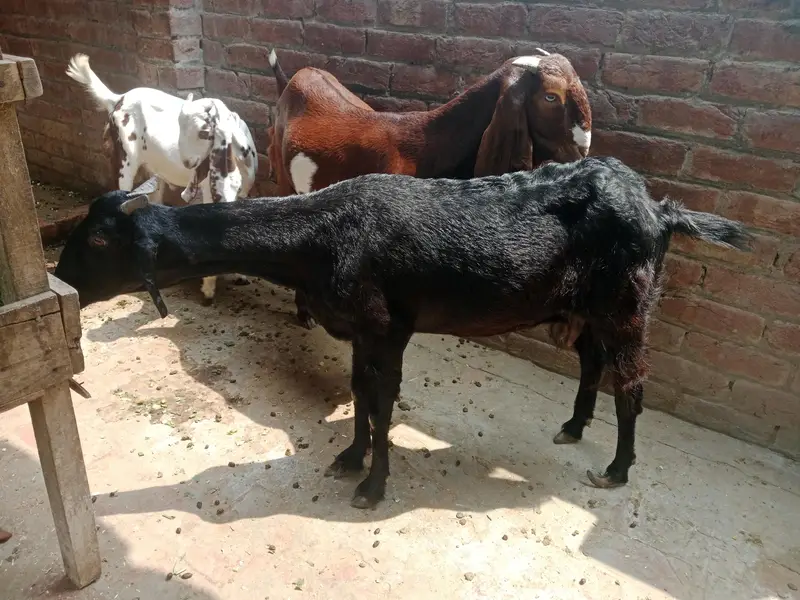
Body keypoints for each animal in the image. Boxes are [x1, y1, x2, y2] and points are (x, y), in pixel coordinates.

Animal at [54, 156, 751, 510]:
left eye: (97, 241)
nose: (60, 280)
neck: (321, 235)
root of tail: (659, 208)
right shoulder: (362, 330)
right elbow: (360, 395)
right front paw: (349, 458)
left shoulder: (387, 327)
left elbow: (383, 400)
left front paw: (373, 485)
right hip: (583, 302)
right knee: (589, 360)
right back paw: (575, 426)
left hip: (628, 300)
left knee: (632, 383)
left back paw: (616, 467)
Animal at [65, 53, 259, 304]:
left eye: (204, 132)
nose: (187, 162)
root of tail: (119, 98)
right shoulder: (210, 190)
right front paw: (208, 289)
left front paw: (238, 274)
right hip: (125, 159)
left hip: (154, 171)